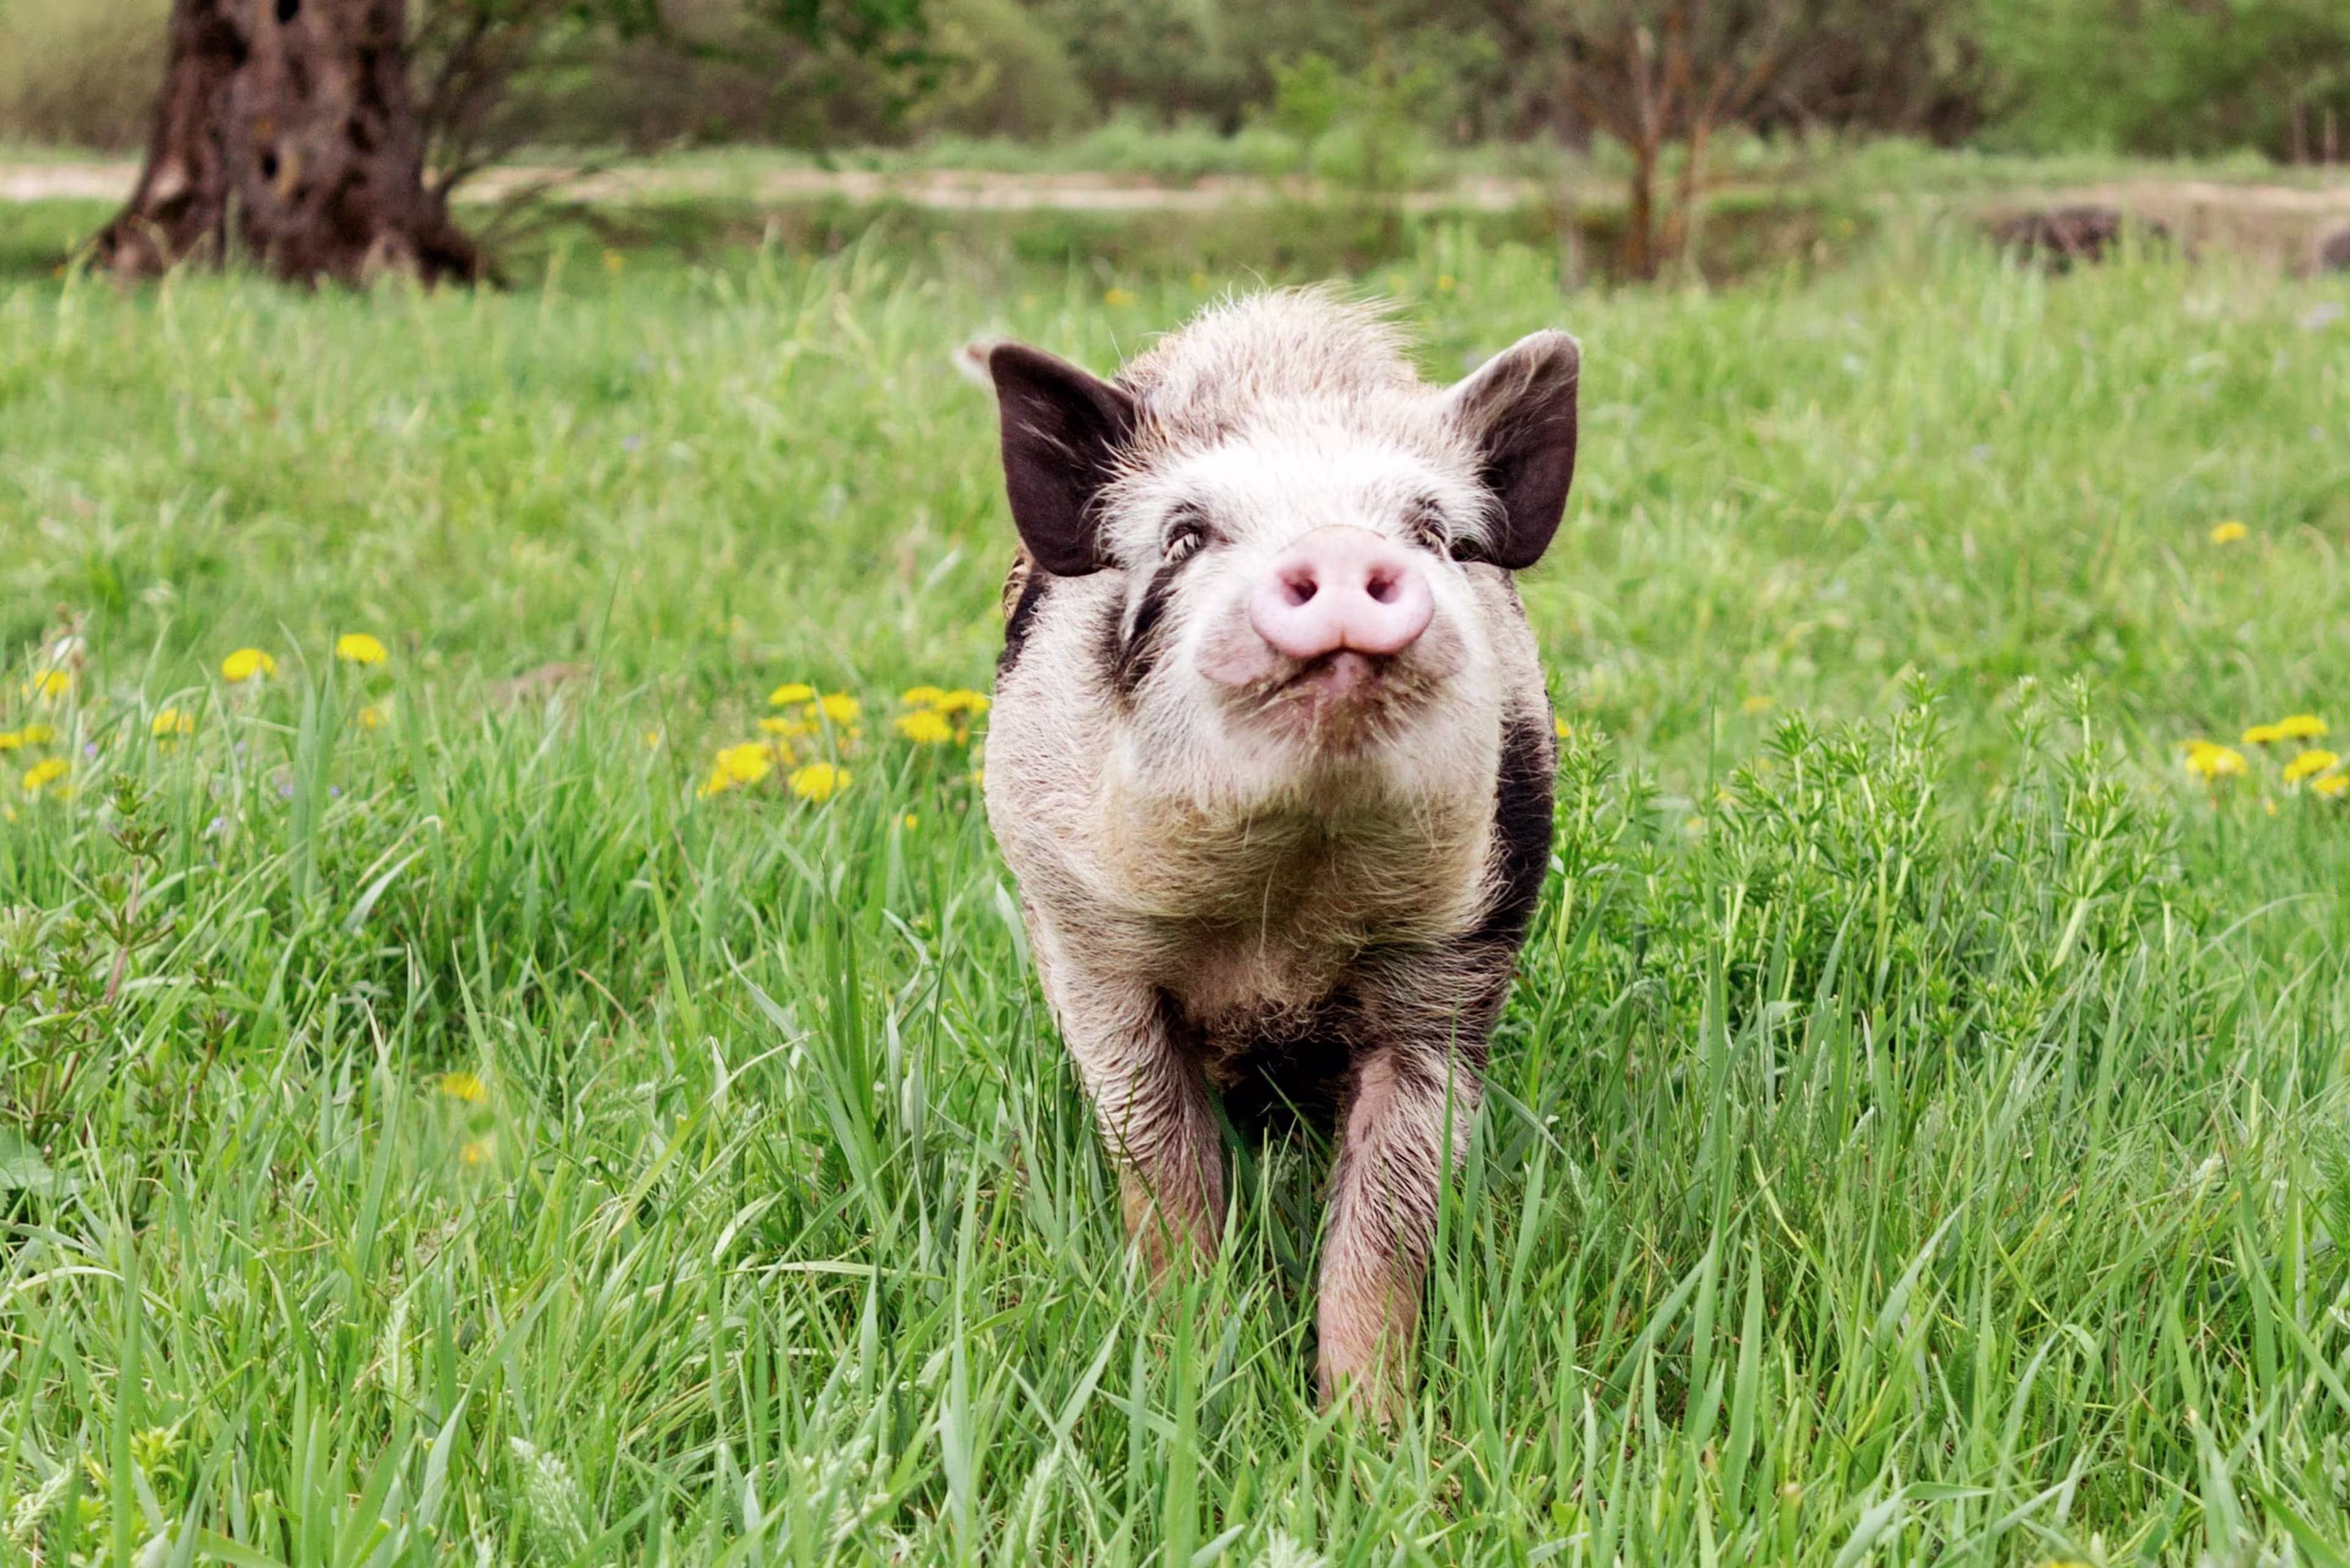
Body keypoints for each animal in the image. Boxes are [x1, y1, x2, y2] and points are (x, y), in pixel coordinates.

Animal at [978, 289, 1578, 1418]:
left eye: (1433, 531)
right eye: (1184, 535)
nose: (1339, 546)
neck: (1283, 912)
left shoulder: (1458, 963)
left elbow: (1390, 1213)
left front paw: (1367, 1429)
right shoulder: (1087, 943)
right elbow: (1162, 1167)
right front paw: (1188, 1369)